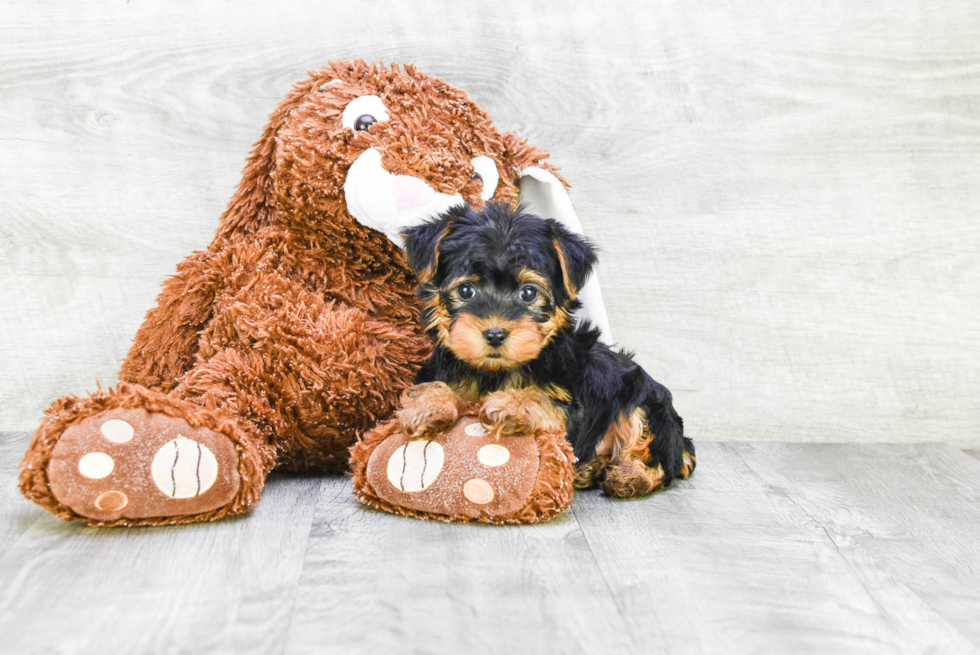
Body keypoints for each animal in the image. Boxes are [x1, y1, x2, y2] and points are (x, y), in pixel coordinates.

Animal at [394, 202, 692, 500]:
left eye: (528, 293)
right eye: (466, 290)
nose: (495, 334)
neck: (493, 372)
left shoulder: (571, 406)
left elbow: (543, 399)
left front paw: (511, 404)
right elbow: (429, 386)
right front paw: (428, 405)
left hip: (645, 402)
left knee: (656, 456)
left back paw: (630, 477)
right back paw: (591, 470)